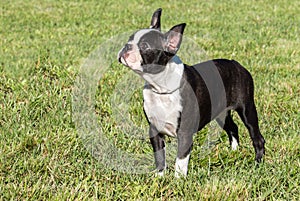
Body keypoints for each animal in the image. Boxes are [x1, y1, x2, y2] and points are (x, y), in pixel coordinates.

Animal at [117, 8, 264, 177]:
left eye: (145, 46)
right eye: (130, 39)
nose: (126, 46)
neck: (161, 88)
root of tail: (237, 64)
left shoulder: (185, 133)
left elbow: (180, 160)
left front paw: (178, 180)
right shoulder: (154, 129)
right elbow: (159, 156)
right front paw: (159, 177)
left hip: (247, 109)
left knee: (257, 137)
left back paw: (257, 164)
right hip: (221, 113)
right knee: (233, 128)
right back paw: (233, 153)